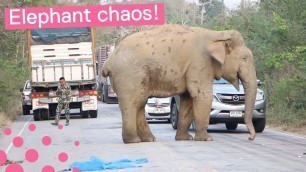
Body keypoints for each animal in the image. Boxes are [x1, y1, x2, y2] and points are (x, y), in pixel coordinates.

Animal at [103, 23, 258, 143]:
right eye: (244, 58)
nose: (250, 138)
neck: (216, 35)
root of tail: (109, 62)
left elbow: (188, 99)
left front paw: (185, 139)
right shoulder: (200, 62)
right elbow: (202, 95)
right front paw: (206, 139)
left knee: (140, 103)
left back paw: (148, 139)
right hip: (129, 75)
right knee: (132, 103)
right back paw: (133, 141)